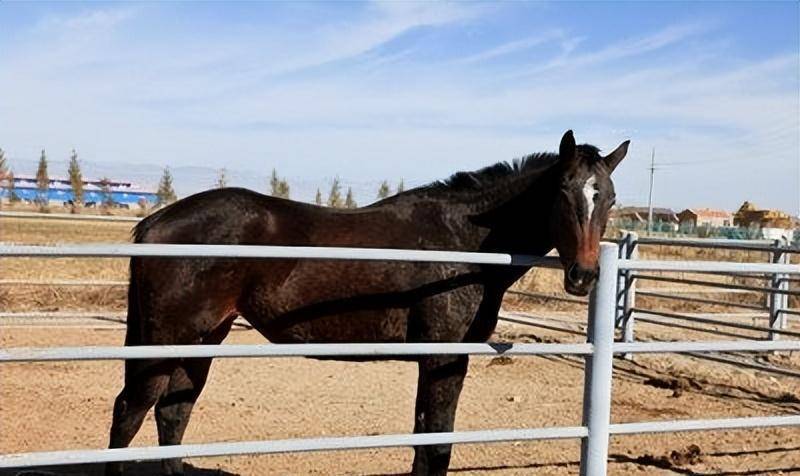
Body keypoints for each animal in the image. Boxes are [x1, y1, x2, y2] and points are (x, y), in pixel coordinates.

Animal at [106, 131, 628, 476]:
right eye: (563, 193)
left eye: (609, 199)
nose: (584, 276)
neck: (461, 242)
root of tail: (156, 222)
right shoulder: (444, 358)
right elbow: (437, 444)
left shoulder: (432, 360)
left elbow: (423, 438)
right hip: (165, 340)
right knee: (130, 411)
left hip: (202, 338)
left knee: (172, 414)